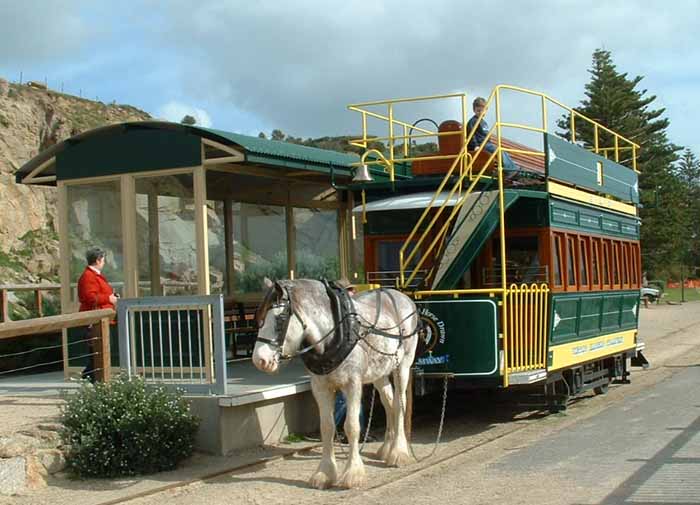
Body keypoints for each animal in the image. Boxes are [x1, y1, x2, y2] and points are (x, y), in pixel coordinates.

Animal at [254, 280, 418, 488]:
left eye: (280, 319)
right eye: (259, 318)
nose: (259, 360)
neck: (335, 334)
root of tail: (403, 297)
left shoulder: (352, 384)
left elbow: (351, 426)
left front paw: (353, 473)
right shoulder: (320, 387)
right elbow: (327, 427)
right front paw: (324, 473)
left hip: (402, 365)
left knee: (398, 403)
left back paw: (398, 453)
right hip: (379, 373)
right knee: (388, 402)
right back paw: (386, 448)